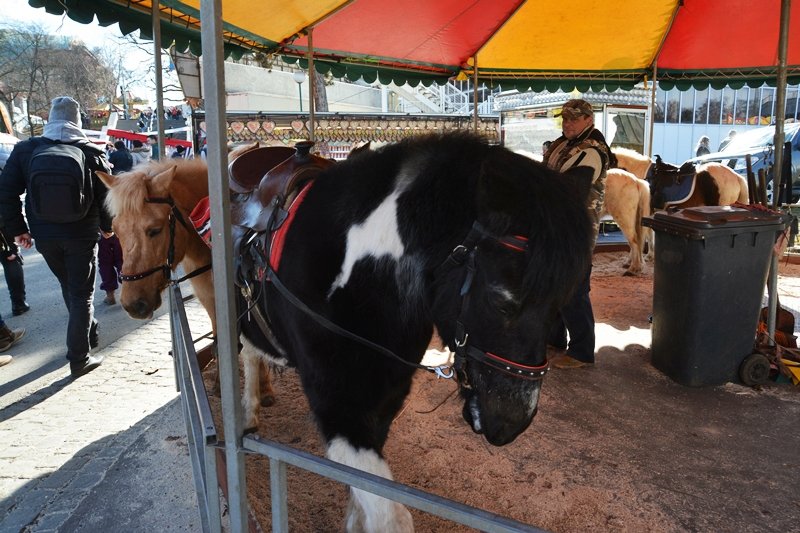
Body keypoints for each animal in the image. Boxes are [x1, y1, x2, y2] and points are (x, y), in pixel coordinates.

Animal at [97, 156, 276, 430]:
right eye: (115, 230)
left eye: (155, 230)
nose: (132, 304)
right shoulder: (210, 298)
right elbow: (220, 340)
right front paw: (221, 385)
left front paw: (264, 390)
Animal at [231, 133, 592, 528]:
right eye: (501, 301)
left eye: (560, 305)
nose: (512, 423)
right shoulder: (338, 408)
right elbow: (390, 516)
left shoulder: (386, 399)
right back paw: (246, 414)